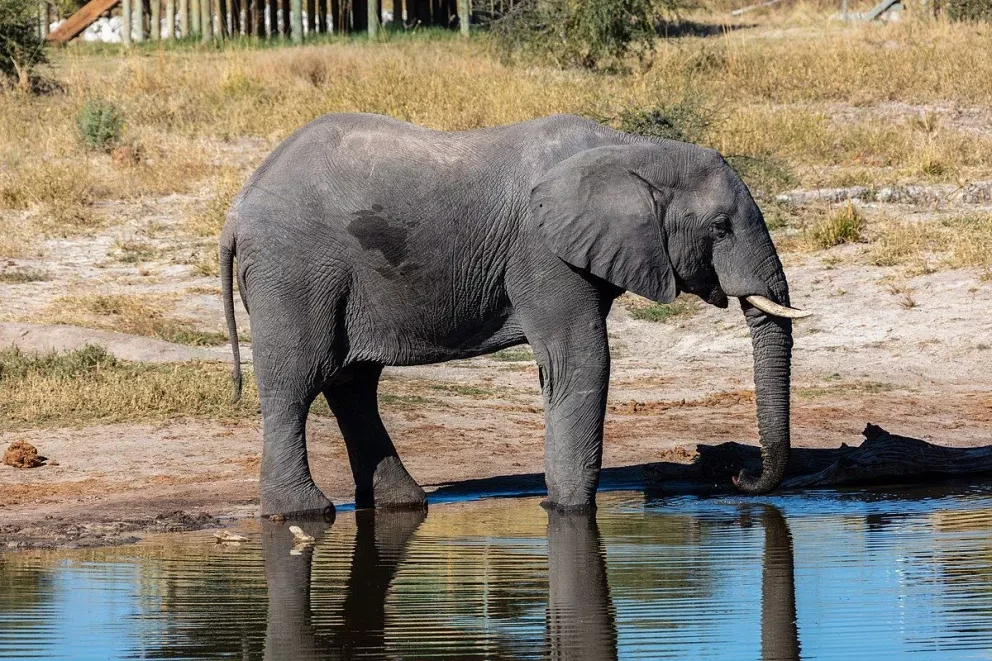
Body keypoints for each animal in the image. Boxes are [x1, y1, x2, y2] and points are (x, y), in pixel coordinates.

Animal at [220, 112, 809, 517]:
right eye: (720, 228)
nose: (737, 478)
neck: (632, 150)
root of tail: (238, 206)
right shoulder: (541, 253)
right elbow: (582, 362)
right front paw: (567, 510)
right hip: (293, 273)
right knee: (298, 381)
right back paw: (302, 513)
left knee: (353, 384)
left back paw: (403, 505)